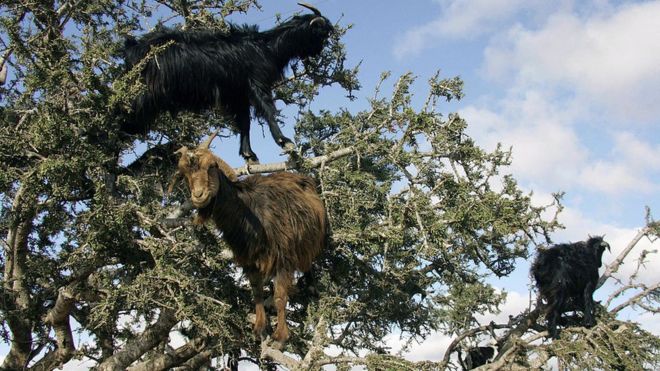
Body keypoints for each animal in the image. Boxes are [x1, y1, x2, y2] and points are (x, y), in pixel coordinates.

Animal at [120, 2, 332, 163]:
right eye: (321, 34)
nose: (319, 51)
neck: (268, 47)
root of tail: (133, 50)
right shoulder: (256, 82)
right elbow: (268, 110)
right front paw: (283, 140)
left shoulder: (237, 94)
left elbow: (245, 122)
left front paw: (248, 154)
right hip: (147, 90)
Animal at [168, 132, 328, 344]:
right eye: (184, 174)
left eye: (211, 167)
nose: (199, 195)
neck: (247, 211)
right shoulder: (249, 259)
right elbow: (257, 291)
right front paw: (259, 327)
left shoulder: (283, 257)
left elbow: (280, 295)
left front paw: (281, 335)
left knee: (307, 263)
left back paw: (311, 288)